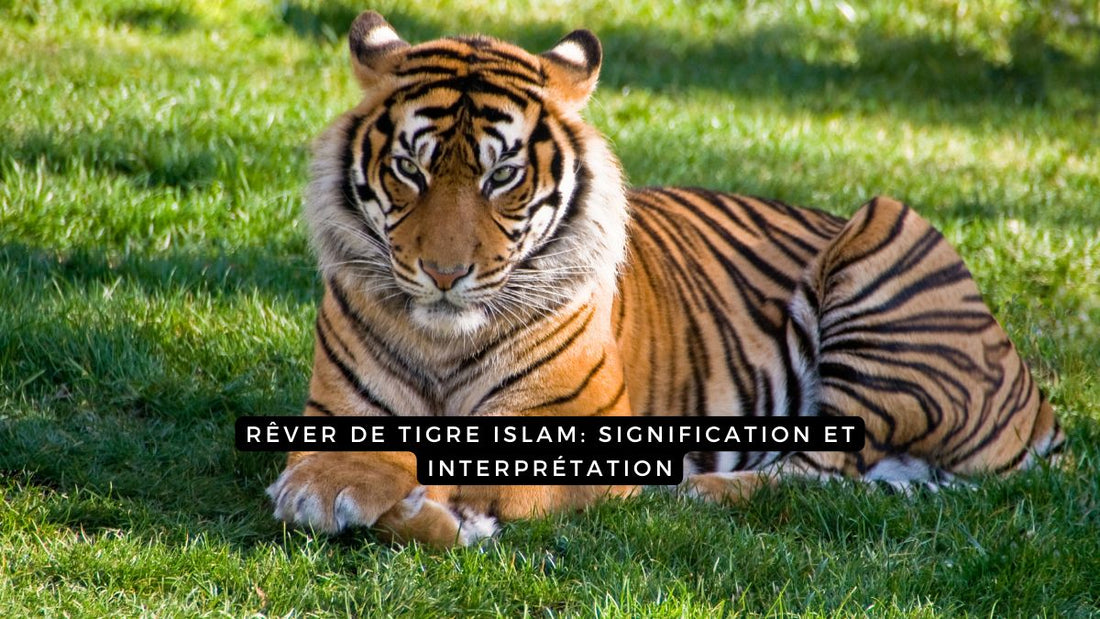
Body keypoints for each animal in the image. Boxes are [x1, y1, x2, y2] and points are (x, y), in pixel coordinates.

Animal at [265, 11, 1064, 547]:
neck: (445, 340)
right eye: (411, 168)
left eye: (502, 176)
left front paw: (416, 506)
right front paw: (331, 486)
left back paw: (698, 490)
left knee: (821, 468)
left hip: (887, 232)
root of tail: (1038, 401)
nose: (443, 273)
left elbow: (482, 478)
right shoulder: (339, 409)